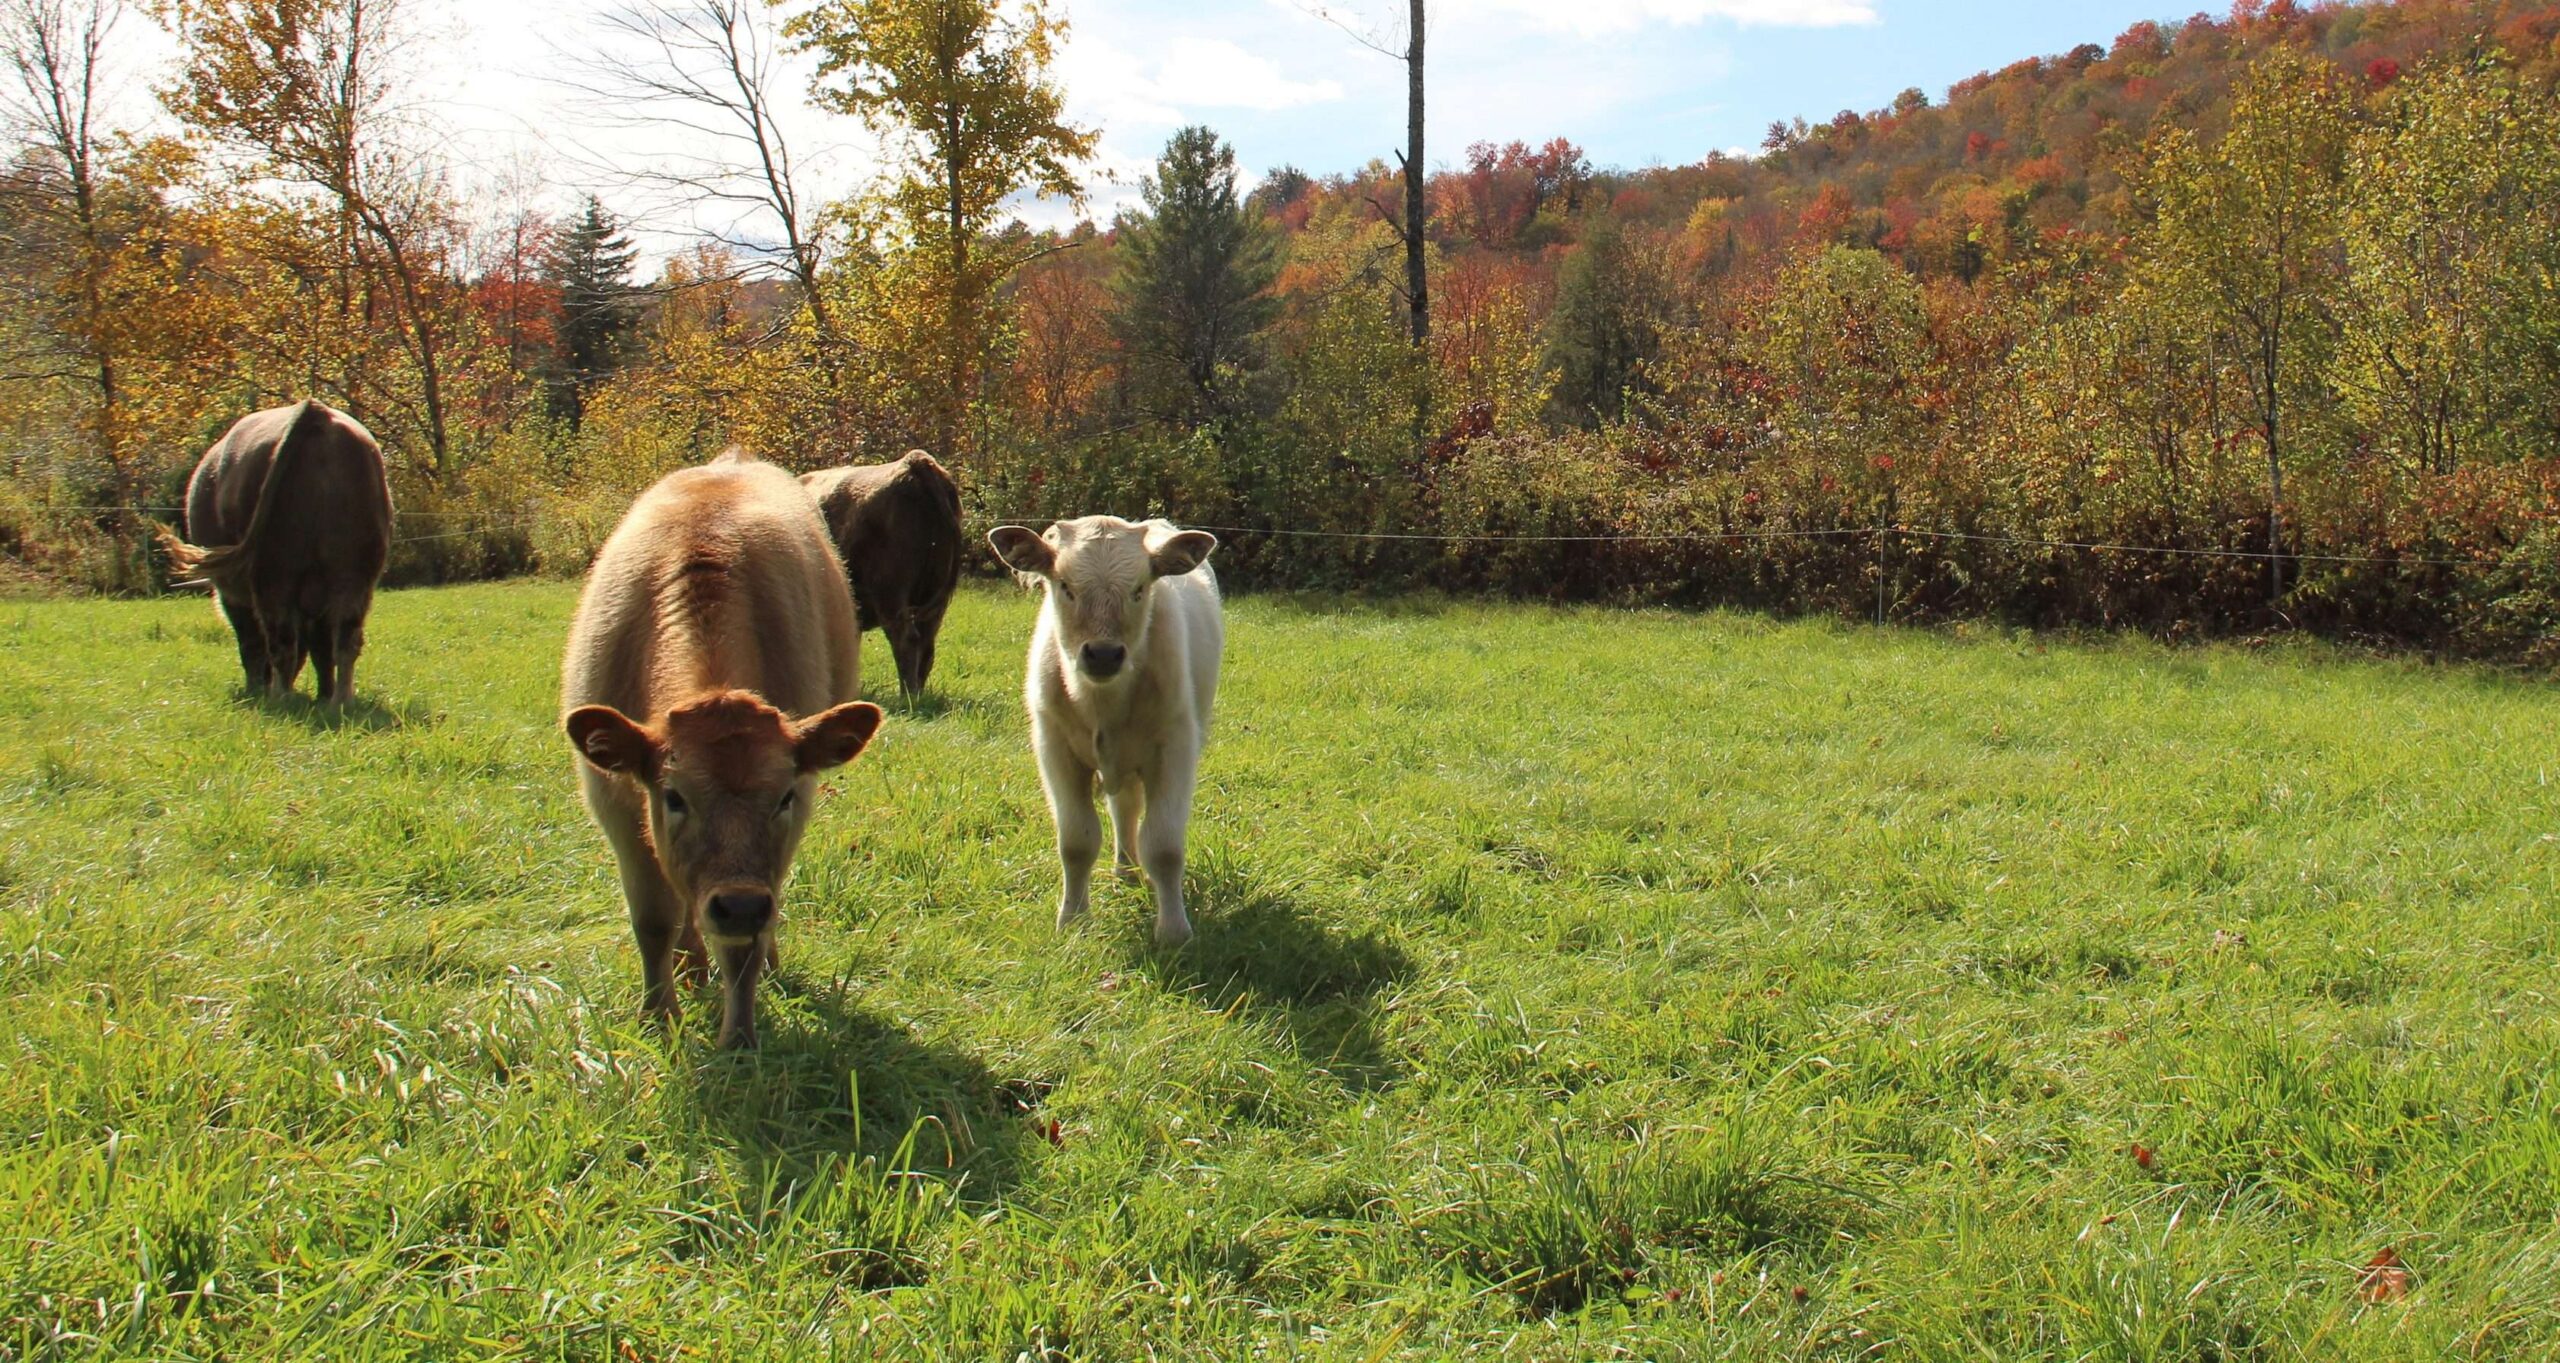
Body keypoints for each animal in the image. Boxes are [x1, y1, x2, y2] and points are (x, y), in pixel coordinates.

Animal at [155, 400, 393, 704]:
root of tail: (315, 413)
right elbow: (321, 650)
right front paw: (323, 695)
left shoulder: (234, 596)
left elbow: (252, 644)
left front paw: (256, 689)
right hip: (353, 578)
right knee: (344, 640)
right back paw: (339, 700)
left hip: (273, 577)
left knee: (280, 642)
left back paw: (281, 697)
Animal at [561, 450, 882, 1049]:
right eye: (673, 796)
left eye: (781, 797)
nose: (738, 906)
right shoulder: (615, 806)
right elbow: (653, 920)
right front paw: (658, 1019)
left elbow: (744, 949)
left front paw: (740, 1038)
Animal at [800, 451, 963, 699]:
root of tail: (915, 463)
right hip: (934, 602)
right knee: (926, 645)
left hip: (891, 593)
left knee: (906, 639)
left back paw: (906, 697)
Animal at [987, 516, 1221, 947]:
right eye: (1065, 586)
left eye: (1139, 589)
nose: (1104, 654)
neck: (1103, 704)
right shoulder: (1055, 750)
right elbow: (1076, 842)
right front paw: (1072, 921)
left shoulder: (1175, 747)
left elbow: (1164, 847)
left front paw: (1173, 931)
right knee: (1123, 807)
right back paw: (1125, 872)